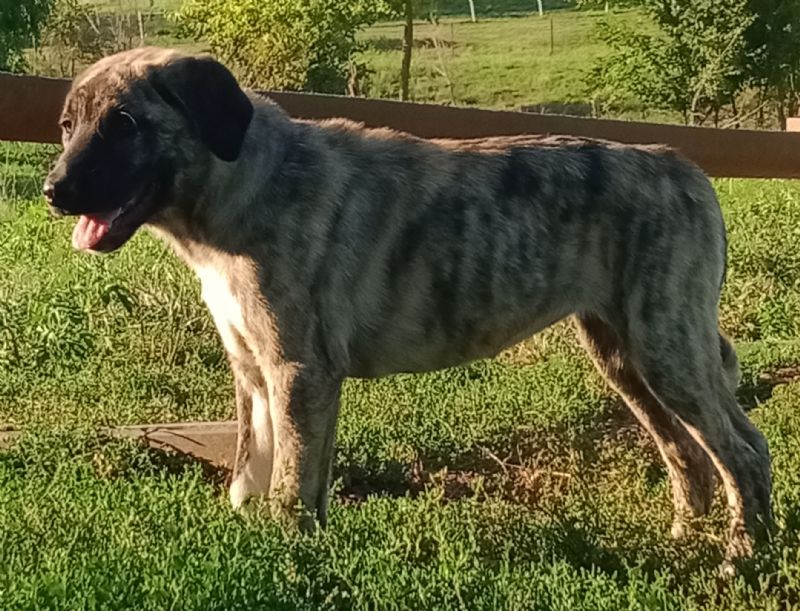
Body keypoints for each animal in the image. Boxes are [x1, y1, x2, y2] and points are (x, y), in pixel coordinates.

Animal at [42, 46, 768, 568]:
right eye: (67, 126)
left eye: (124, 124)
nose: (53, 190)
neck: (238, 188)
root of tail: (687, 170)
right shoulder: (255, 372)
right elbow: (257, 472)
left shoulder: (298, 369)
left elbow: (289, 484)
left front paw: (287, 553)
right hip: (625, 354)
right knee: (687, 450)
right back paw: (685, 540)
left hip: (666, 343)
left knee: (743, 450)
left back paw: (744, 557)